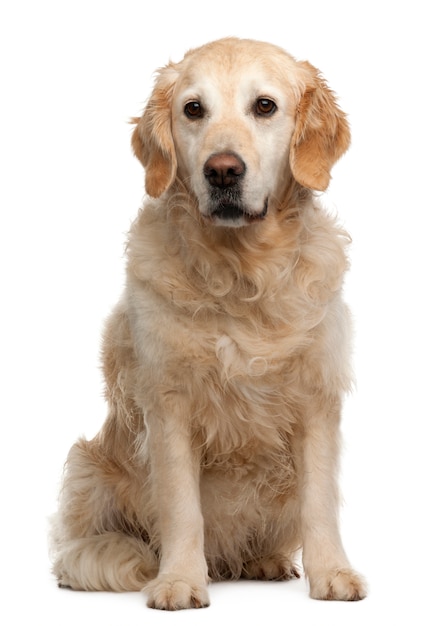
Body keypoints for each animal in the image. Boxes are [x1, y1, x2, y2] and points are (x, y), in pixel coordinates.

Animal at [50, 37, 364, 604]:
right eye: (193, 109)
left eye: (265, 106)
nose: (222, 170)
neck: (240, 276)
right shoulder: (169, 403)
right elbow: (181, 508)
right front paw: (177, 580)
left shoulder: (316, 397)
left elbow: (320, 501)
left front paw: (332, 573)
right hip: (87, 464)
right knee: (83, 549)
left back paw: (263, 560)